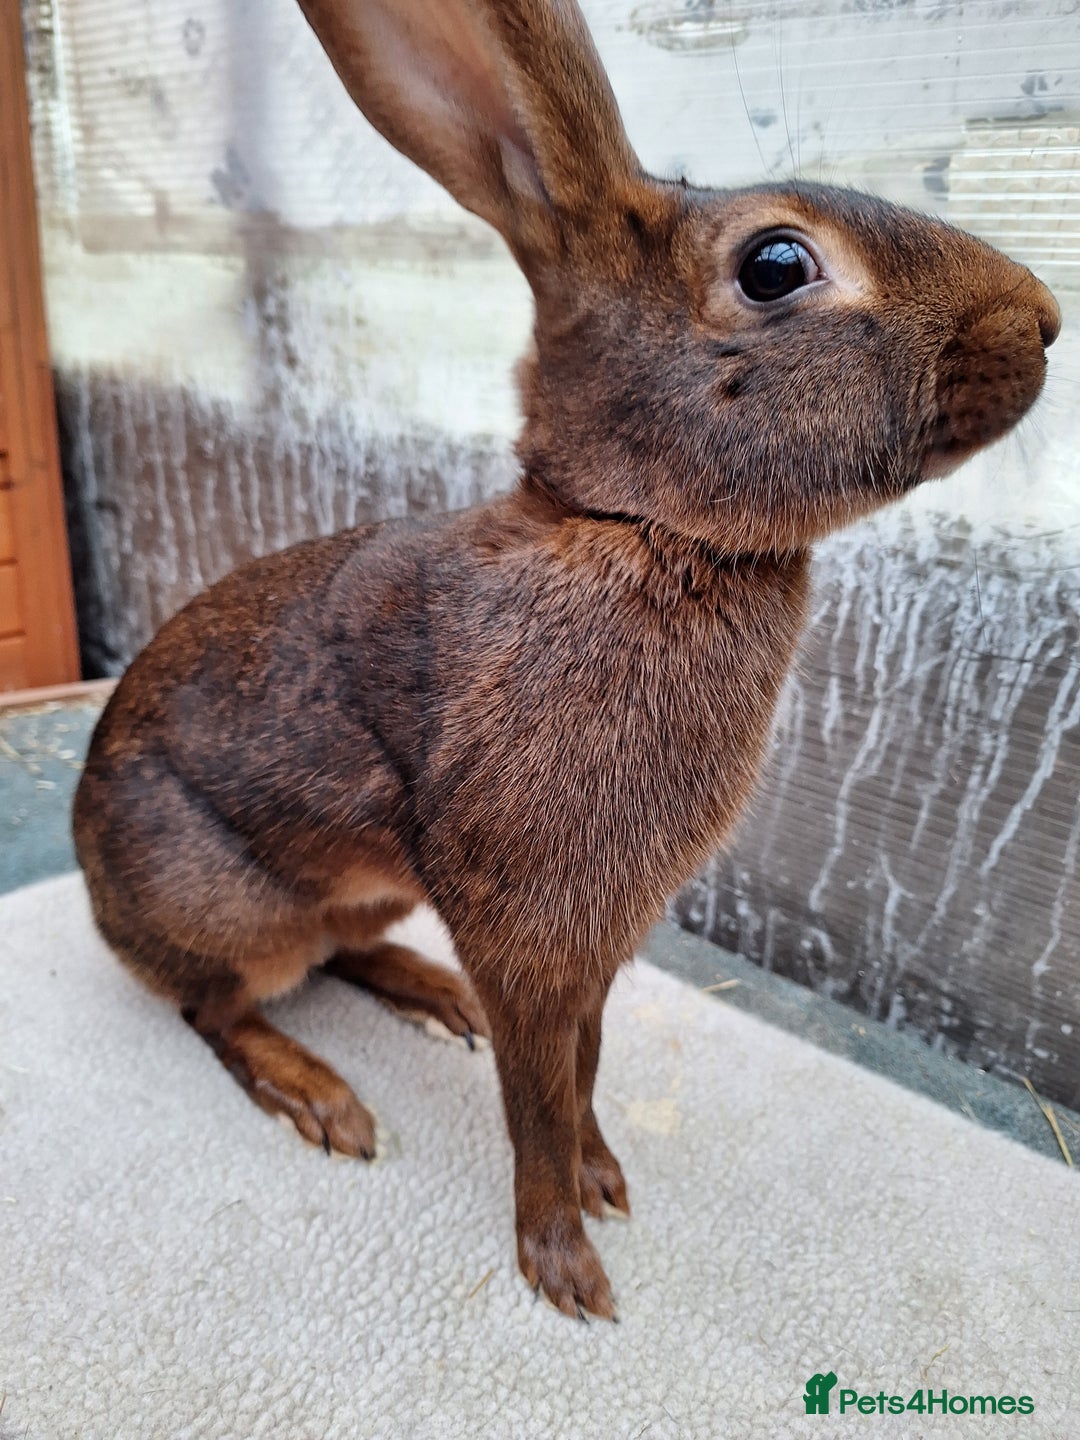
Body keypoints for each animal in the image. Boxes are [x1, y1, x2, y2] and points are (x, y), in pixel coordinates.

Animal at [74, 0, 1060, 1322]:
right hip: (220, 898)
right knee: (214, 1006)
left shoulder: (590, 944)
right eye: (777, 266)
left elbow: (583, 1069)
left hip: (360, 888)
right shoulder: (536, 929)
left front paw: (604, 1179)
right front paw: (566, 1264)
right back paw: (319, 1093)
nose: (1042, 318)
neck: (638, 530)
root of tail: (98, 892)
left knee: (333, 955)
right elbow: (537, 1097)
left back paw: (427, 994)